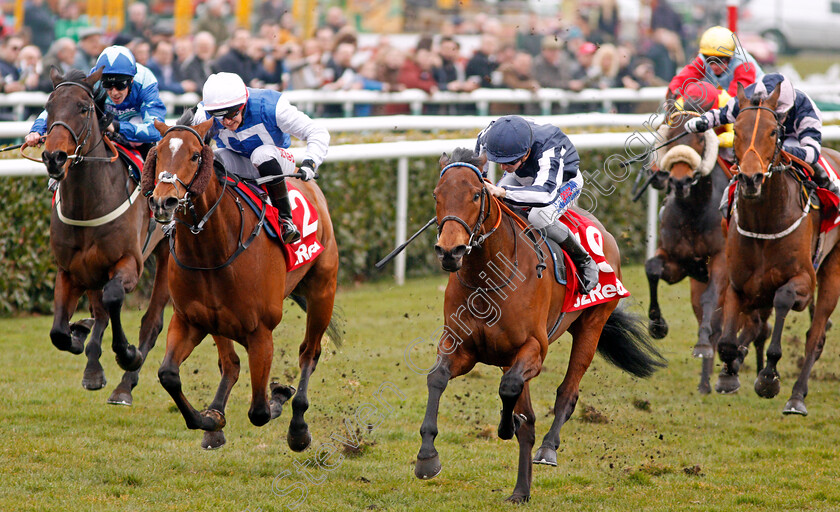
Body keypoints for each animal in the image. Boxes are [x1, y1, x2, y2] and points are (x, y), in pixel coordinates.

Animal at [24, 67, 170, 404]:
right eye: (48, 106)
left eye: (83, 108)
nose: (54, 157)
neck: (87, 205)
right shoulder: (70, 270)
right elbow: (58, 332)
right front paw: (79, 335)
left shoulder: (129, 263)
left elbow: (114, 298)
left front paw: (127, 353)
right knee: (100, 313)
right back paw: (92, 364)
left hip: (170, 254)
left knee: (151, 322)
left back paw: (125, 385)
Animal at [144, 119, 342, 448]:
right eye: (157, 154)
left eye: (195, 156)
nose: (163, 201)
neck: (212, 250)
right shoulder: (188, 319)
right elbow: (168, 374)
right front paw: (211, 419)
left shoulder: (261, 332)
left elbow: (260, 411)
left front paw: (280, 395)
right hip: (216, 320)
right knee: (231, 363)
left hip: (322, 291)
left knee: (309, 353)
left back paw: (298, 426)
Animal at [416, 149, 668, 504]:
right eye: (437, 195)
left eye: (476, 194)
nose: (450, 251)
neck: (487, 277)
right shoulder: (461, 347)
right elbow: (437, 378)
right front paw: (427, 457)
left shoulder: (533, 349)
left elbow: (511, 391)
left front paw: (507, 426)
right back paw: (520, 490)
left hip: (592, 324)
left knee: (567, 392)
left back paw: (547, 449)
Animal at [648, 113, 772, 392]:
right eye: (670, 139)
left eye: (699, 141)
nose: (679, 181)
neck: (693, 209)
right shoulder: (679, 263)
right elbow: (652, 268)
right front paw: (657, 326)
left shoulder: (720, 262)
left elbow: (711, 301)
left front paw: (704, 345)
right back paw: (706, 382)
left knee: (756, 327)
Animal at [716, 82, 840, 414]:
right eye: (737, 129)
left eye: (773, 132)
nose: (750, 178)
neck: (765, 223)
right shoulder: (738, 283)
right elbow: (728, 339)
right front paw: (728, 373)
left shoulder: (804, 282)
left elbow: (783, 300)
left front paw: (768, 377)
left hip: (832, 272)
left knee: (815, 337)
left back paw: (796, 396)